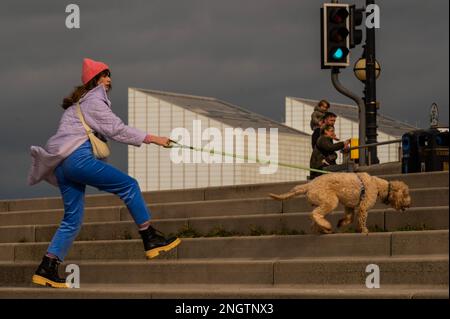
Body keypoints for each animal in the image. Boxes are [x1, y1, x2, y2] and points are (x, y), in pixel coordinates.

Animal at [268, 174, 410, 234]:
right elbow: (362, 218)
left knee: (314, 218)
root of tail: (309, 185)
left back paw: (323, 228)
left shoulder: (349, 206)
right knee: (315, 214)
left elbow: (349, 218)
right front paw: (364, 230)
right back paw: (326, 226)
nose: (409, 205)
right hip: (330, 201)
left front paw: (341, 223)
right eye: (406, 194)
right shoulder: (363, 206)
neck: (379, 185)